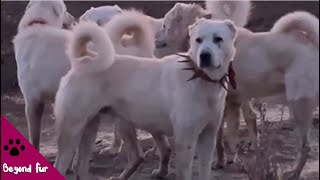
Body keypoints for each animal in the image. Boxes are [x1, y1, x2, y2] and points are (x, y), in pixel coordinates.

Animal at [53, 17, 238, 180]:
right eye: (198, 40)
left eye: (218, 39)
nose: (204, 56)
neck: (199, 78)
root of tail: (84, 59)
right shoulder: (185, 141)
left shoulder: (208, 137)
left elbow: (205, 170)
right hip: (72, 130)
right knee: (61, 165)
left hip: (92, 127)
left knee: (83, 166)